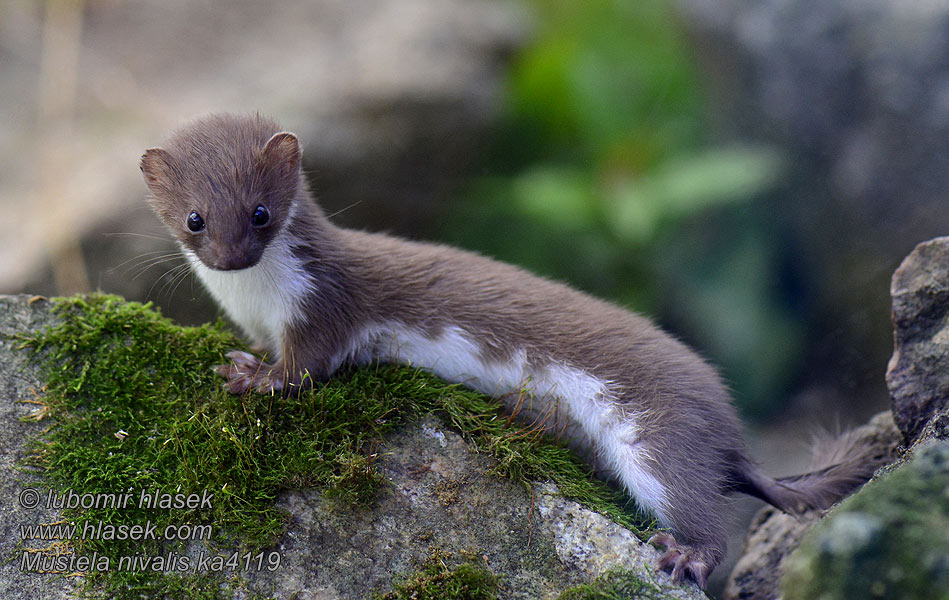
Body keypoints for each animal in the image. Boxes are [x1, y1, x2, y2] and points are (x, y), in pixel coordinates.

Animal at [141, 115, 880, 588]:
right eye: (195, 219)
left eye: (261, 212)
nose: (232, 256)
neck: (254, 301)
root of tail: (730, 432)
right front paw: (244, 359)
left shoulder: (322, 307)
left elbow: (304, 370)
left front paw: (250, 378)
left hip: (657, 436)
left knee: (698, 504)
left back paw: (685, 555)